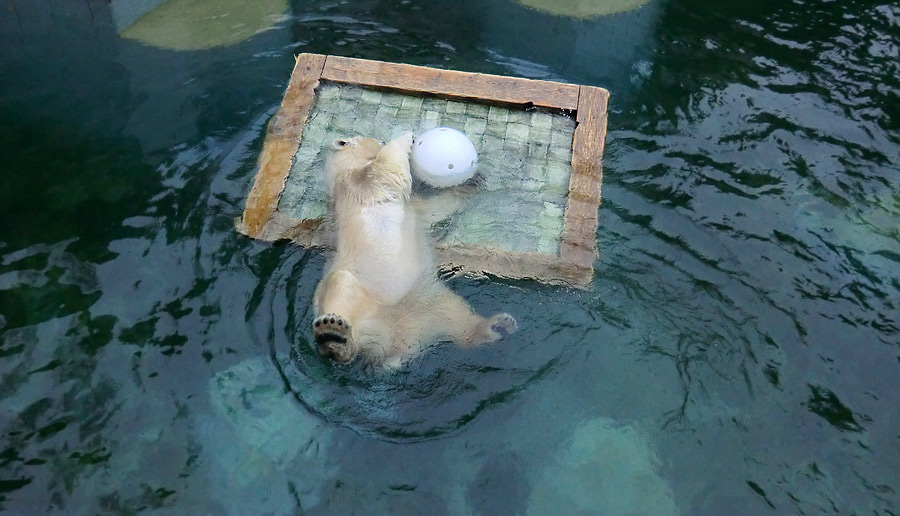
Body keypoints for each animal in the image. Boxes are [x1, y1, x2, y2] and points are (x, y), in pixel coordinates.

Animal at [312, 131, 516, 368]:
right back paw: (334, 336)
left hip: (426, 302)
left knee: (458, 317)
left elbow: (437, 208)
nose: (382, 139)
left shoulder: (414, 209)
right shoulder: (355, 183)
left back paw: (497, 326)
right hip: (363, 296)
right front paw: (406, 138)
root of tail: (391, 346)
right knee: (339, 285)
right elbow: (384, 168)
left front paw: (473, 181)